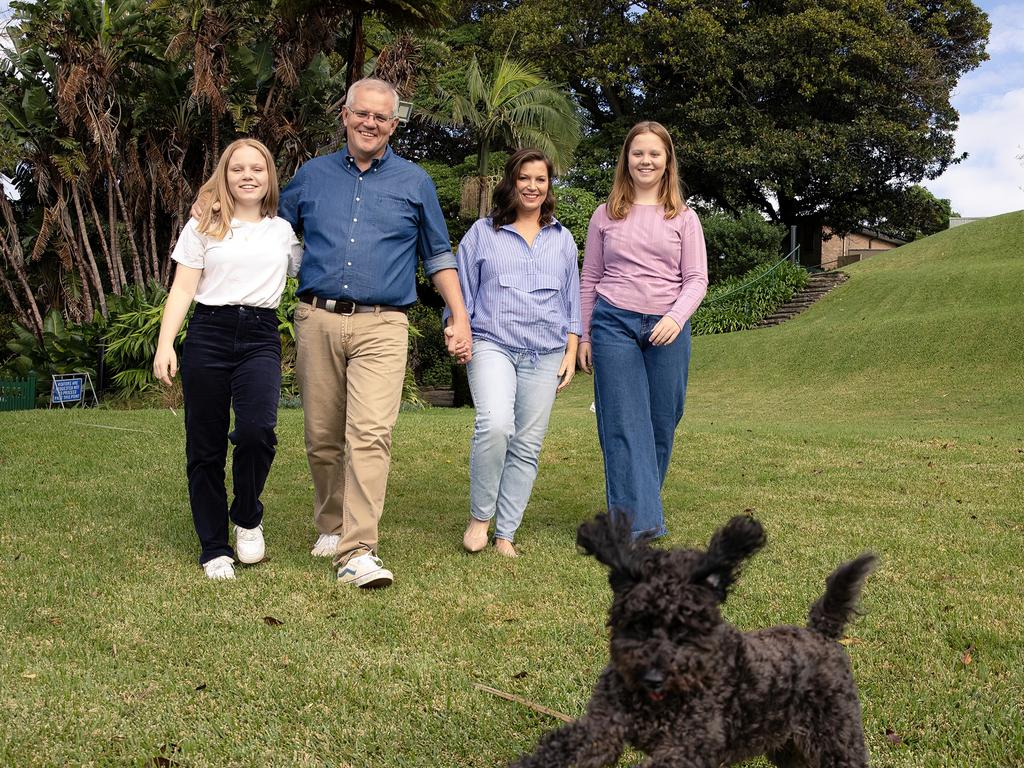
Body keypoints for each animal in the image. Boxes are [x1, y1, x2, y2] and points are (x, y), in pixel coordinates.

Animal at [507, 512, 876, 768]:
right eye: (638, 626)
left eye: (686, 631)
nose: (653, 677)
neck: (655, 704)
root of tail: (819, 630)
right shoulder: (603, 728)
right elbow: (562, 750)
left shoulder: (688, 744)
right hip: (788, 745)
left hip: (834, 734)